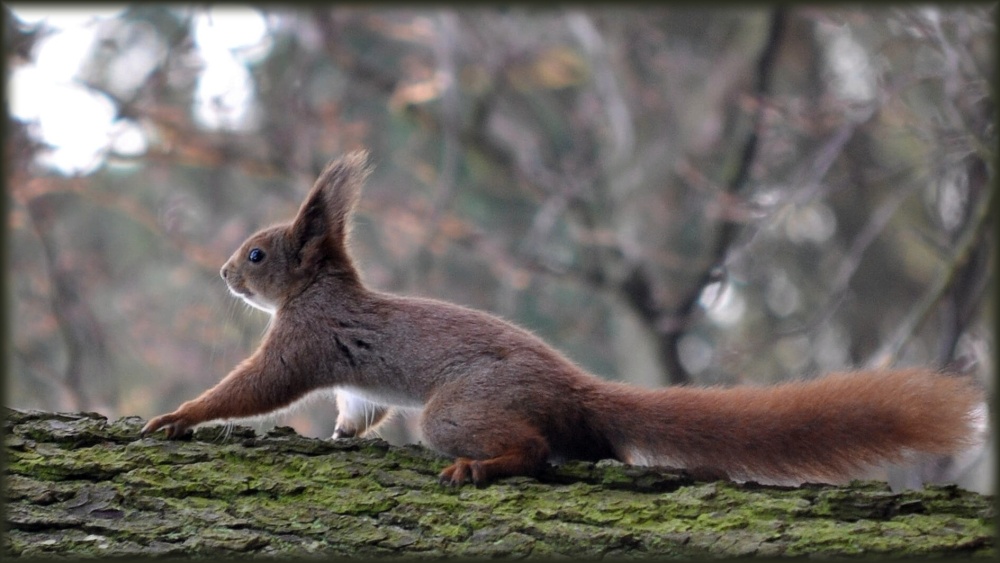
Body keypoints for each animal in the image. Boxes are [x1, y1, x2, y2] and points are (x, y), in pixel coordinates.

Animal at [141, 152, 984, 486]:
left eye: (256, 254)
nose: (223, 273)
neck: (319, 286)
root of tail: (579, 389)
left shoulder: (304, 337)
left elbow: (255, 387)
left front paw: (178, 416)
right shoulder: (347, 373)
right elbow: (359, 405)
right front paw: (344, 434)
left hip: (460, 410)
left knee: (535, 449)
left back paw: (482, 465)